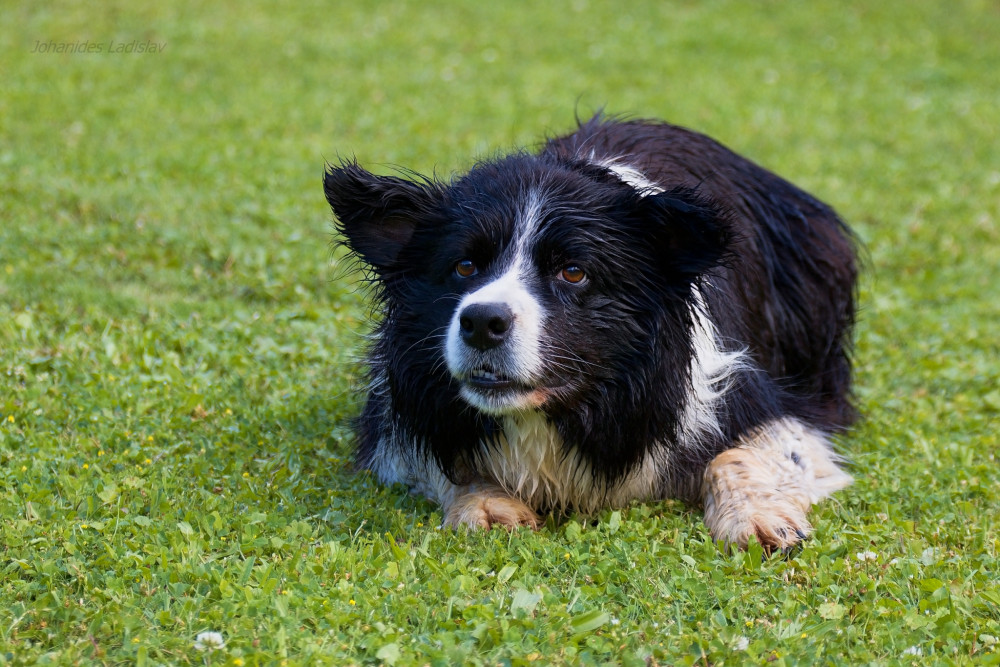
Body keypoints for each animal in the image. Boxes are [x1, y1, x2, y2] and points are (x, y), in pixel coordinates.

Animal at [324, 115, 856, 552]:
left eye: (574, 272)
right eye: (464, 266)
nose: (481, 323)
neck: (569, 410)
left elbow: (745, 452)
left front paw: (758, 517)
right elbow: (436, 455)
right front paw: (487, 504)